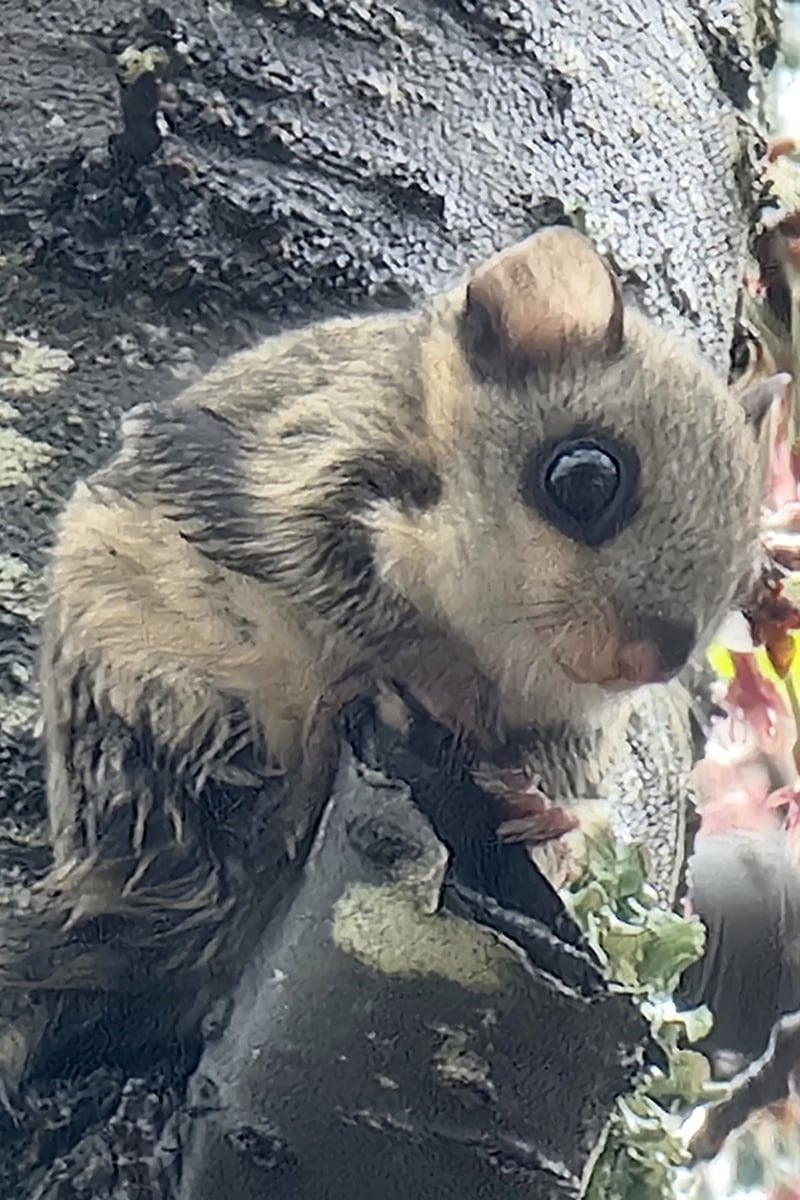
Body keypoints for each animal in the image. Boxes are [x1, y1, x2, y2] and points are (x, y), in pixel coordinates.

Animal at [12, 225, 786, 1003]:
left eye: (746, 573)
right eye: (585, 478)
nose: (646, 660)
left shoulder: (571, 716)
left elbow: (558, 766)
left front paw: (543, 812)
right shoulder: (298, 474)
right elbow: (356, 600)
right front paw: (440, 683)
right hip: (159, 694)